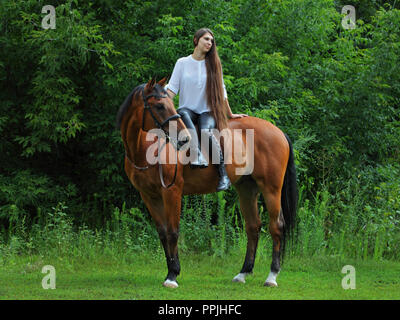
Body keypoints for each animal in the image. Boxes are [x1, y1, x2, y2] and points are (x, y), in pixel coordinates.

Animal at [115, 77, 296, 288]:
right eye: (159, 105)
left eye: (169, 104)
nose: (184, 139)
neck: (147, 147)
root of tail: (279, 132)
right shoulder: (149, 196)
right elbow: (162, 233)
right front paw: (169, 271)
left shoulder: (172, 192)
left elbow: (173, 232)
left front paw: (173, 275)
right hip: (247, 189)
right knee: (253, 227)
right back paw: (243, 273)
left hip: (271, 189)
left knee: (276, 226)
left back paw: (272, 276)